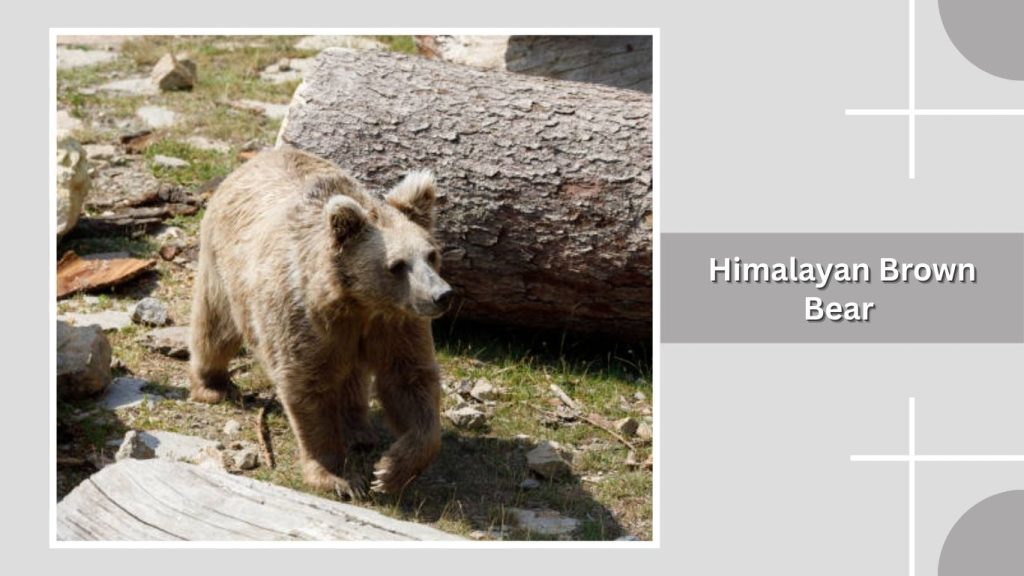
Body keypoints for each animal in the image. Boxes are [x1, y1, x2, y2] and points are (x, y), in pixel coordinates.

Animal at [188, 147, 452, 498]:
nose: (442, 295)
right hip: (224, 266)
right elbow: (309, 388)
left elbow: (411, 380)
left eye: (431, 254)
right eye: (397, 264)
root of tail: (258, 158)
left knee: (353, 375)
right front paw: (338, 477)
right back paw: (211, 385)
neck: (360, 302)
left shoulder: (395, 324)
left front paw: (389, 470)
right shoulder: (305, 320)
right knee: (215, 329)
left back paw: (359, 430)